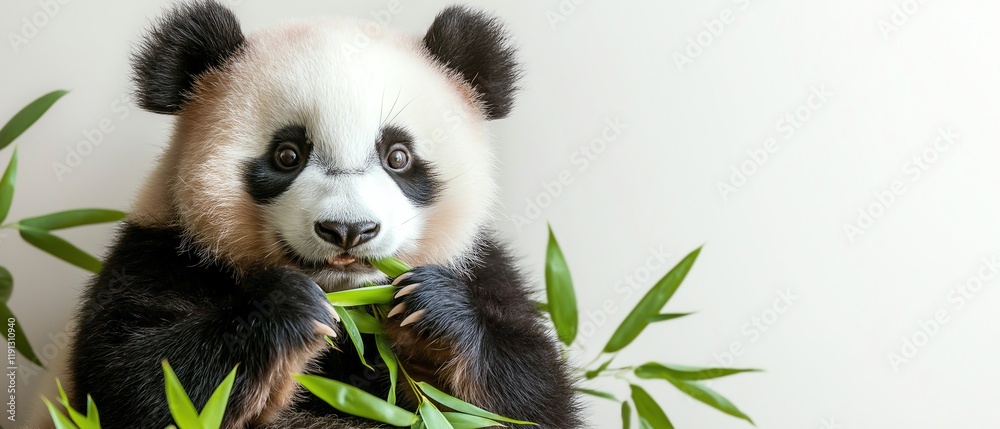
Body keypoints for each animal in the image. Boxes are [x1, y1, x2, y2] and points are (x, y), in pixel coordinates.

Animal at [61, 1, 581, 428]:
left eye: (398, 156)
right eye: (287, 155)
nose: (348, 230)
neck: (350, 299)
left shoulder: (483, 268)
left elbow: (534, 394)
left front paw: (430, 308)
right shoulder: (159, 251)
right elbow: (134, 381)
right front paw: (288, 307)